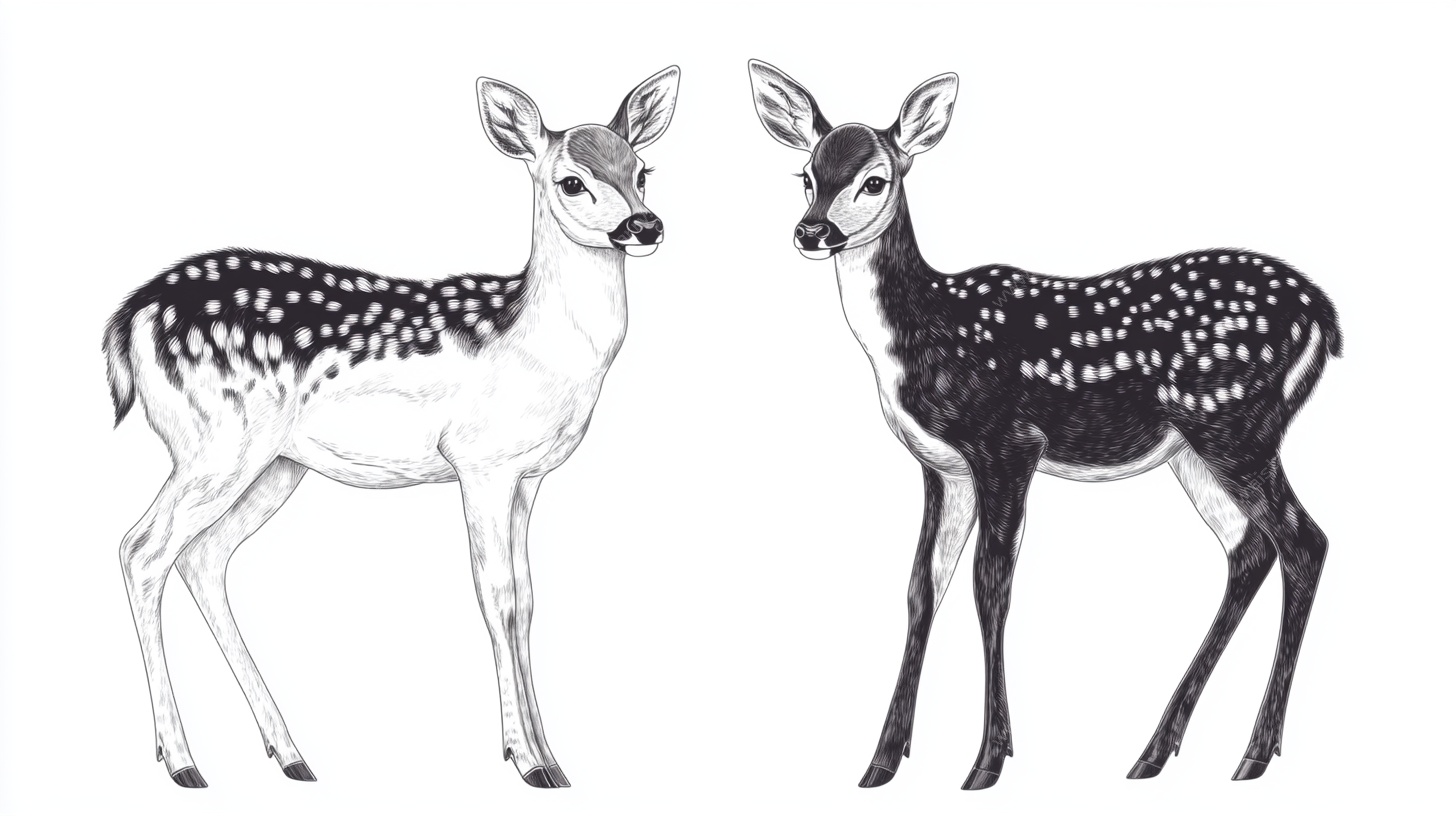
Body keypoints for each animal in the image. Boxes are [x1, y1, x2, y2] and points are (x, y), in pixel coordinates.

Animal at [104, 66, 680, 789]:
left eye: (642, 170)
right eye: (572, 181)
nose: (644, 224)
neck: (538, 343)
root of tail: (129, 319)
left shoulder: (528, 476)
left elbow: (528, 598)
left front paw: (552, 758)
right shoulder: (479, 461)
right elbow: (497, 596)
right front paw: (526, 761)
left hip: (275, 464)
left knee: (202, 557)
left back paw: (290, 755)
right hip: (216, 441)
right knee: (141, 549)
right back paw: (183, 762)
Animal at [748, 60, 1341, 790]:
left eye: (875, 179)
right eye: (807, 175)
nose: (811, 231)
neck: (924, 333)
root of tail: (1322, 312)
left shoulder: (1007, 443)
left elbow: (990, 584)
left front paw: (986, 762)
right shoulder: (942, 467)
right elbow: (922, 586)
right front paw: (881, 762)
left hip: (1237, 425)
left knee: (1304, 541)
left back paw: (1253, 754)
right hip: (1196, 451)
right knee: (1251, 549)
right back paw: (1154, 753)